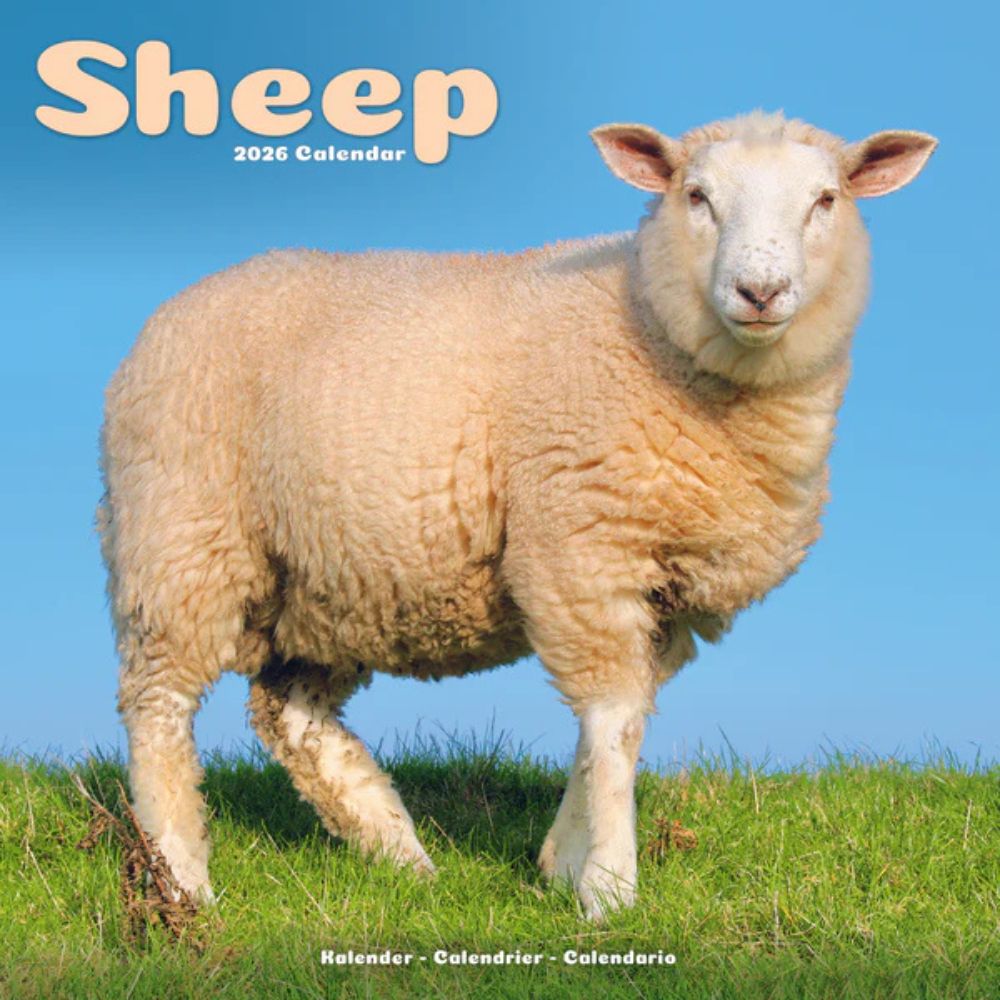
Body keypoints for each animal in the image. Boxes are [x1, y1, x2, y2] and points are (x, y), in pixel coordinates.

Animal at [98, 111, 937, 921]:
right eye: (696, 196)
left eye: (825, 200)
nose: (760, 292)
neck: (649, 326)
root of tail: (166, 316)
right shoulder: (581, 548)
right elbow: (613, 721)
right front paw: (609, 887)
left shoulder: (667, 594)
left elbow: (618, 725)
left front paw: (562, 862)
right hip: (180, 537)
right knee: (158, 708)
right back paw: (183, 879)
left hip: (327, 578)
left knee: (291, 717)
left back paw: (399, 854)